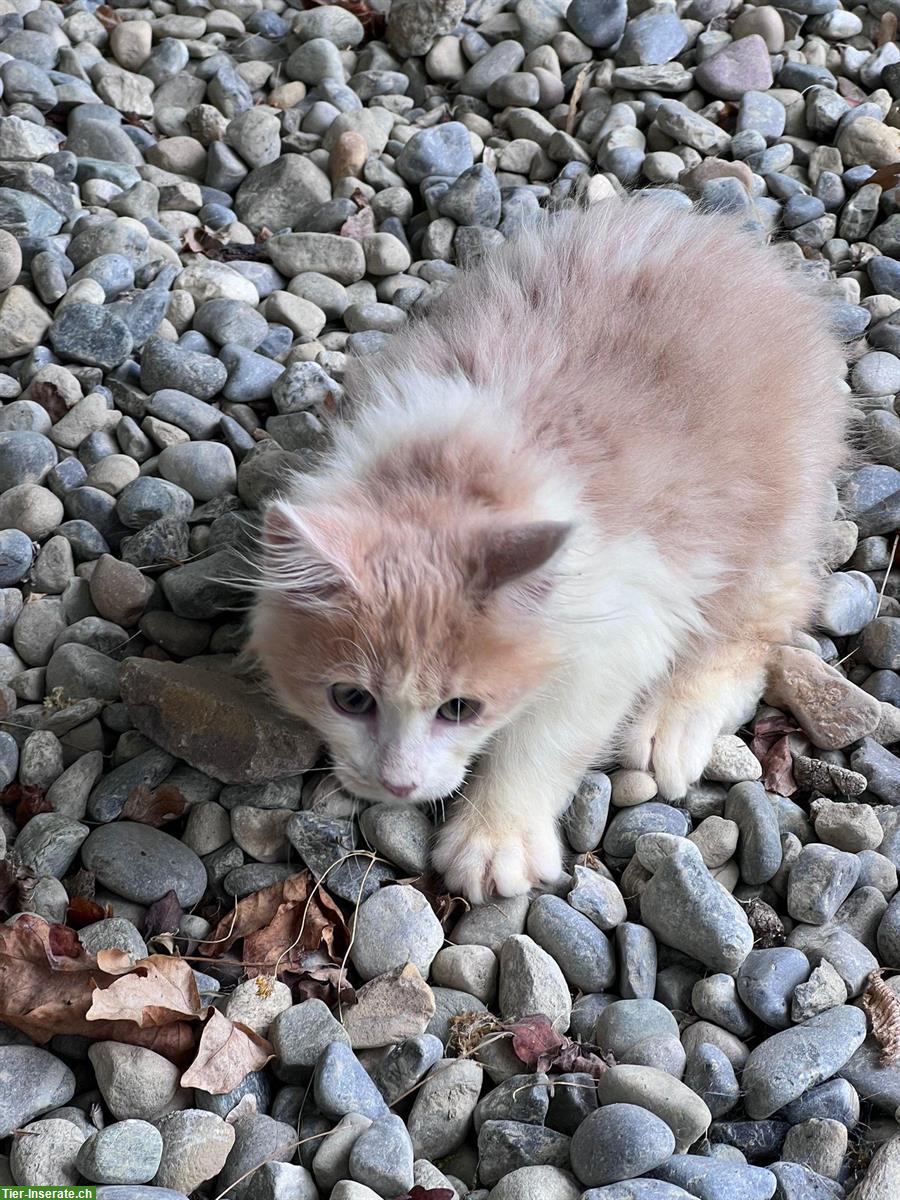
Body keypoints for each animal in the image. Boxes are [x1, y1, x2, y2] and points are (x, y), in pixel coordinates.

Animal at [250, 196, 849, 902]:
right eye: (350, 700)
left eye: (460, 709)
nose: (398, 784)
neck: (451, 473)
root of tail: (750, 248)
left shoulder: (624, 615)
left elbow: (545, 738)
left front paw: (496, 837)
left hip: (766, 517)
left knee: (763, 620)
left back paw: (673, 725)